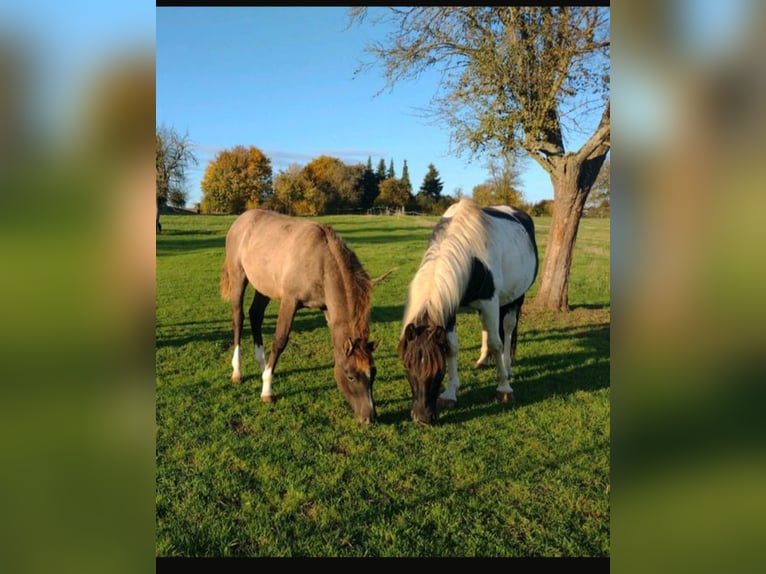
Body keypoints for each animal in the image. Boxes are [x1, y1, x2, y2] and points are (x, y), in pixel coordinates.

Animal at [220, 209, 381, 424]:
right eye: (351, 376)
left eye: (373, 373)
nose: (369, 418)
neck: (321, 261)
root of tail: (241, 219)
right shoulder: (290, 301)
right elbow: (280, 341)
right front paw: (267, 391)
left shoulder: (327, 309)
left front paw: (267, 377)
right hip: (239, 277)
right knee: (238, 318)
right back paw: (237, 371)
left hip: (264, 286)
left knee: (256, 315)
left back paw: (263, 366)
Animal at [398, 197, 538, 425]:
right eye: (407, 366)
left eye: (439, 370)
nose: (422, 418)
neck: (471, 256)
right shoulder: (449, 307)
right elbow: (452, 348)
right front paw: (450, 394)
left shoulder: (490, 302)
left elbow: (497, 344)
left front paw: (503, 389)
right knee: (486, 329)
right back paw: (482, 360)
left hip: (515, 298)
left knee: (508, 330)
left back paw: (508, 370)